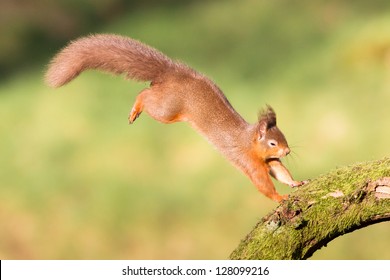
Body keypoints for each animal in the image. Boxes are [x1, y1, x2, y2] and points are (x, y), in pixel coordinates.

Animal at [45, 34, 308, 202]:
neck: (249, 140)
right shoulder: (247, 160)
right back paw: (135, 108)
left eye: (283, 138)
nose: (287, 151)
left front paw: (295, 183)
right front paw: (280, 197)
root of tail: (171, 73)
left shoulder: (268, 161)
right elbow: (262, 183)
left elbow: (280, 172)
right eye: (272, 142)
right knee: (145, 94)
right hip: (167, 110)